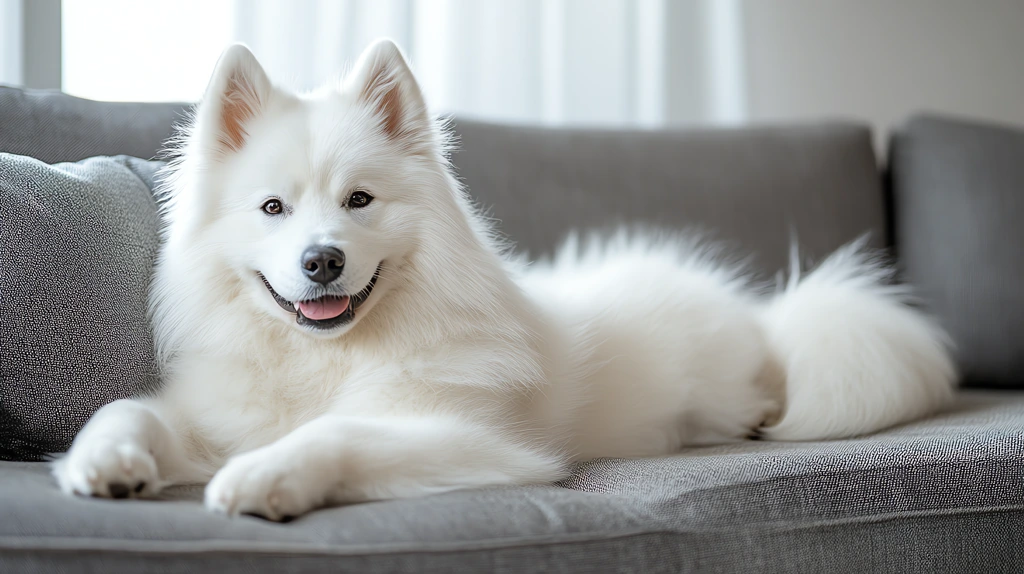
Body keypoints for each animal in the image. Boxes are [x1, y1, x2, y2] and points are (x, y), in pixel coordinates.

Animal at [54, 38, 950, 517]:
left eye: (359, 201)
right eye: (273, 208)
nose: (322, 260)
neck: (327, 360)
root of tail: (763, 314)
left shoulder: (475, 439)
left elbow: (337, 434)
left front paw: (266, 476)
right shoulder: (209, 415)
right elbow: (128, 411)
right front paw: (100, 462)